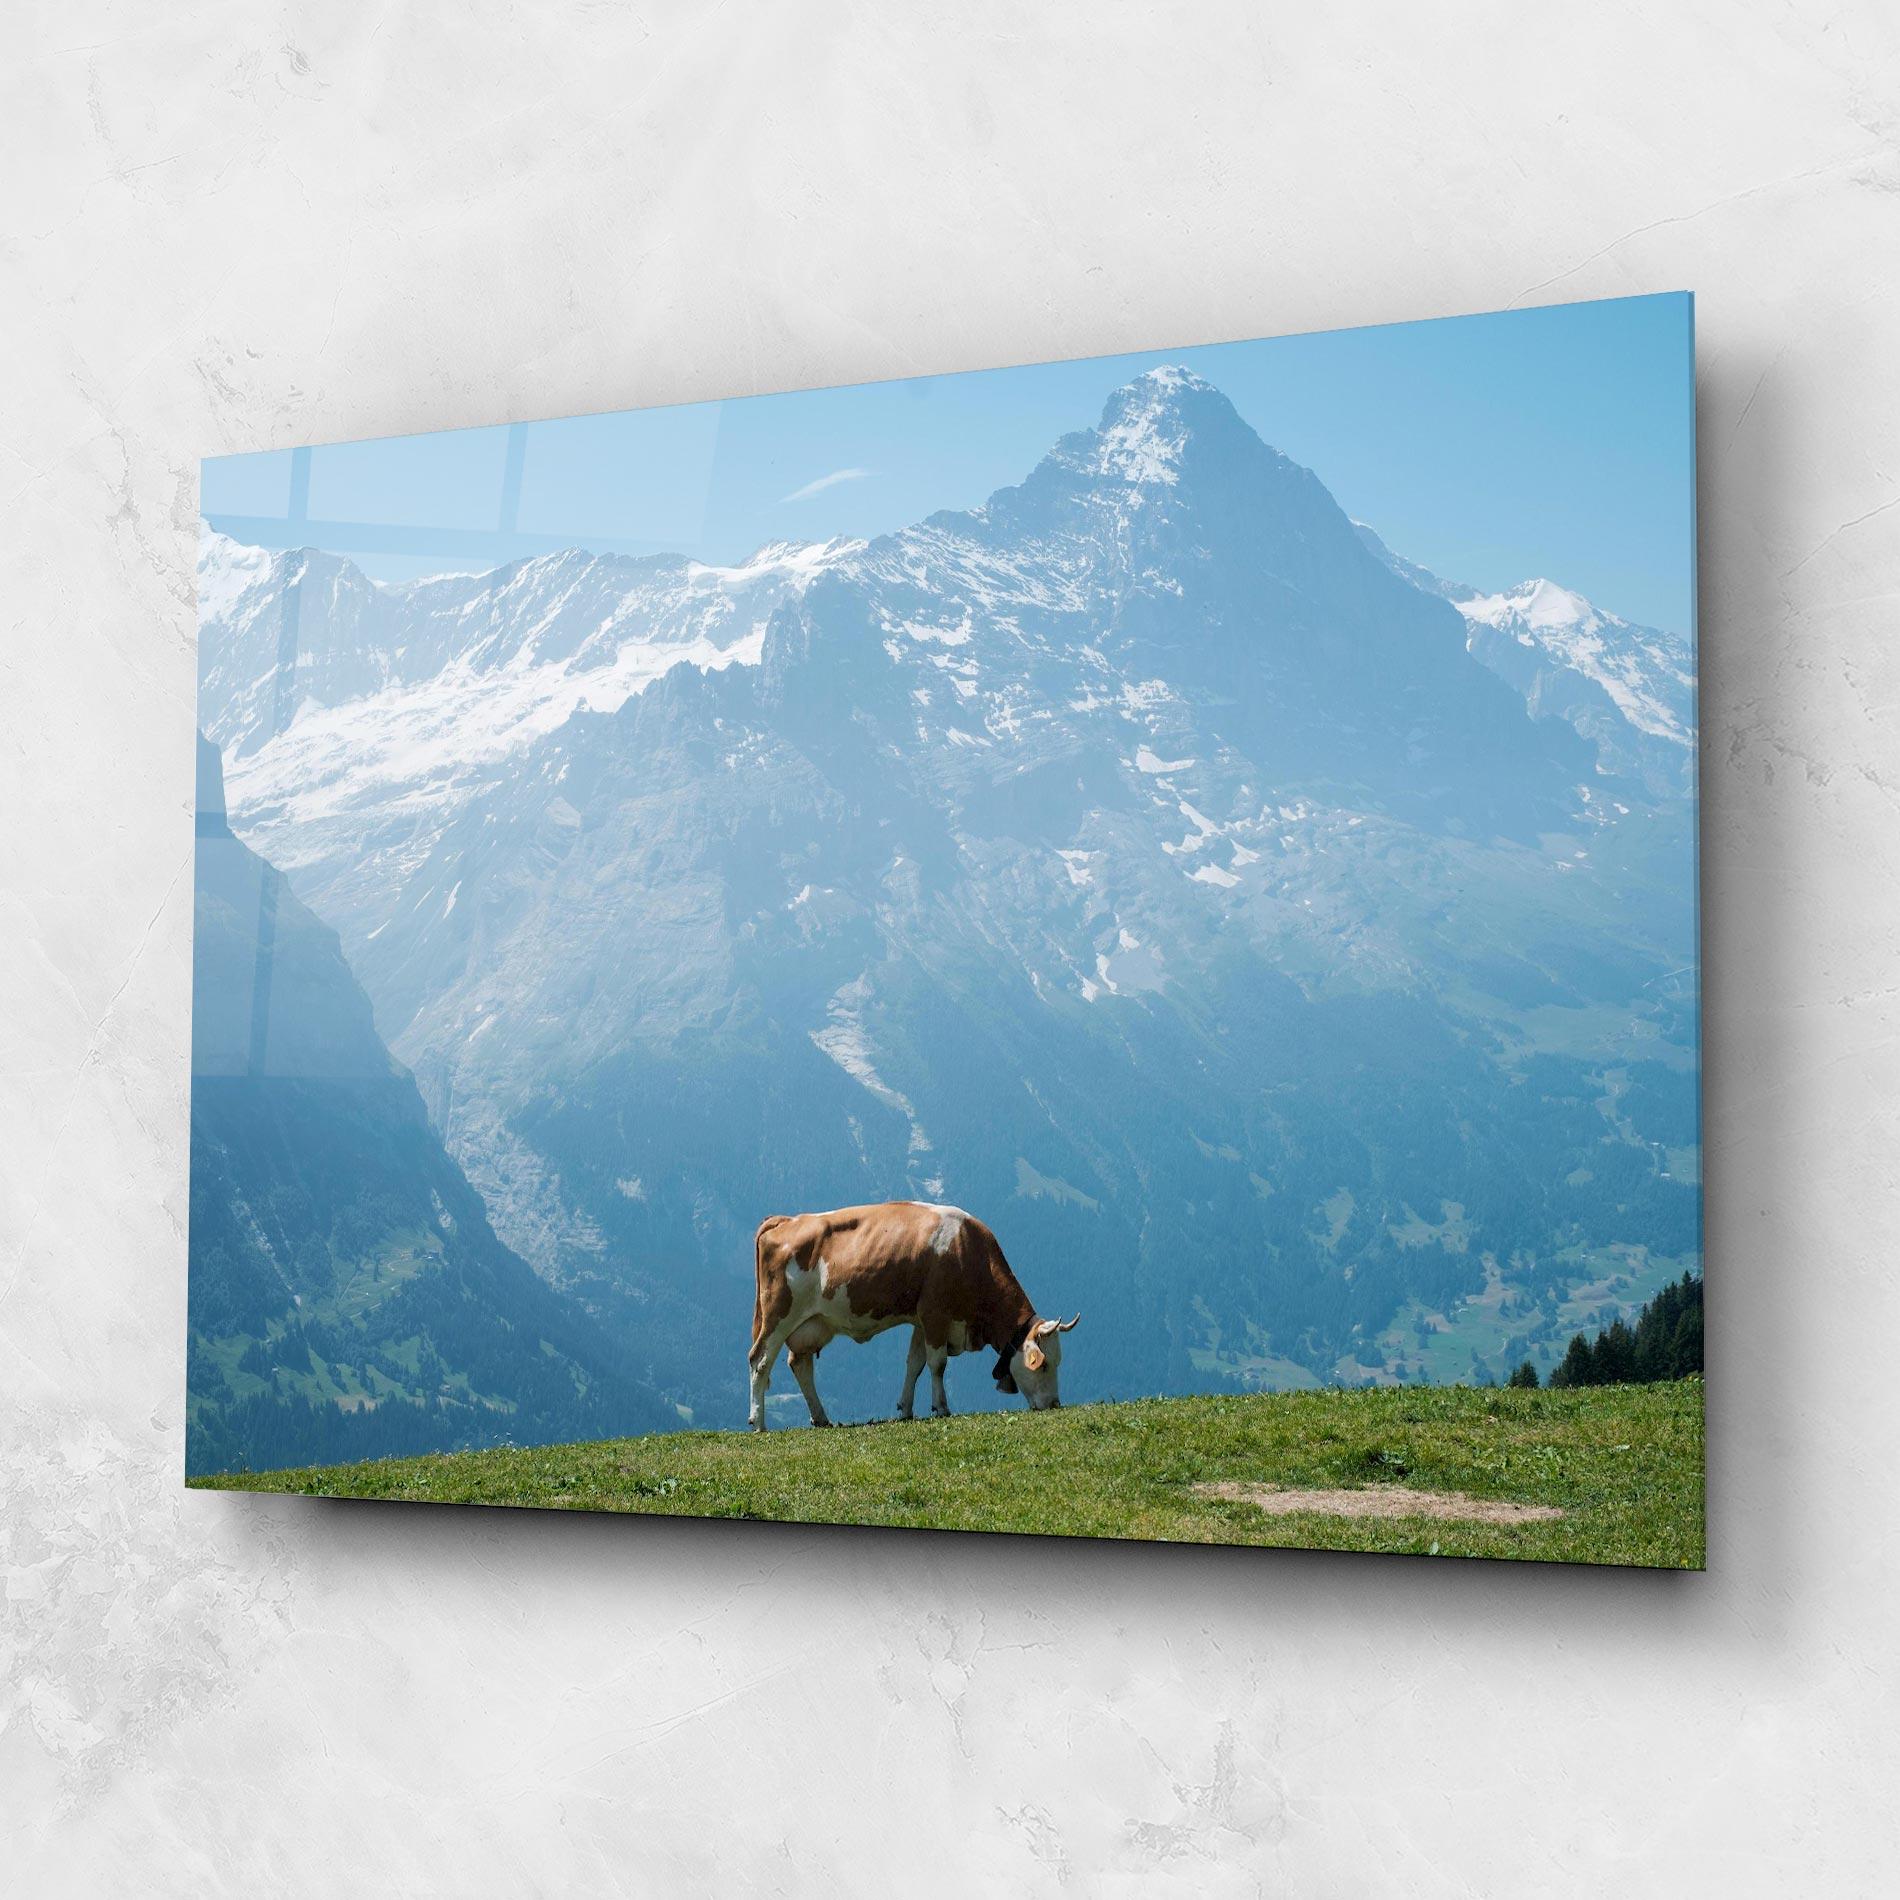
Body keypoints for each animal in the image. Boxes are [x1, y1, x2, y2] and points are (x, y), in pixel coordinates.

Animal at [747, 1200, 1079, 1431]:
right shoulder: (935, 1314)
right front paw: (941, 1407)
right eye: (1044, 1364)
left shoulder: (922, 1319)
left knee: (799, 1364)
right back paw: (759, 1422)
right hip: (778, 1315)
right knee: (760, 1360)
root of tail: (786, 1220)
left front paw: (905, 1409)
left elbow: (914, 1364)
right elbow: (937, 1364)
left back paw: (821, 1417)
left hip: (812, 1323)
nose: (1054, 1404)